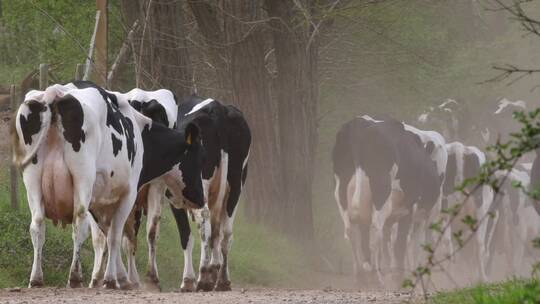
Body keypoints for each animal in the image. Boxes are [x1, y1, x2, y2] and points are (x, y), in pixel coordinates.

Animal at [11, 83, 204, 290]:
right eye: (198, 159)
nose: (201, 199)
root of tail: (55, 92)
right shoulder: (128, 193)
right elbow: (115, 235)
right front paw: (114, 279)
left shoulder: (99, 200)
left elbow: (107, 234)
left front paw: (119, 277)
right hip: (83, 177)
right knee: (80, 223)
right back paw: (75, 277)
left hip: (32, 181)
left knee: (37, 225)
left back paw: (36, 278)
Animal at [162, 95, 251, 292]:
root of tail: (216, 107)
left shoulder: (175, 198)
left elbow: (186, 236)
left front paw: (188, 280)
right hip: (236, 184)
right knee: (225, 232)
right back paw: (222, 279)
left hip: (198, 186)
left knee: (205, 222)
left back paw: (203, 276)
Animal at [332, 115, 446, 284]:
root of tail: (361, 122)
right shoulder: (410, 210)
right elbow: (402, 245)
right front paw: (400, 277)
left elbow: (389, 245)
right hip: (381, 193)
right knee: (376, 231)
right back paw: (377, 277)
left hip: (342, 192)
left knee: (353, 231)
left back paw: (361, 276)